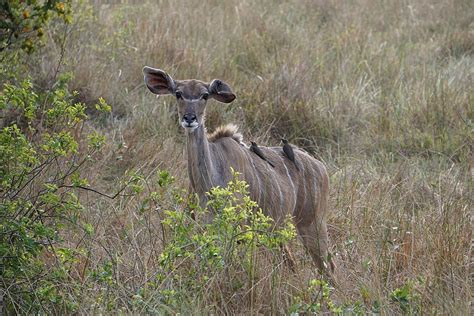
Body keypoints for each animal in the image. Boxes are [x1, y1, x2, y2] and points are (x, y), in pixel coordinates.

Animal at [143, 66, 334, 272]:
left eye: (204, 95)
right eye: (178, 94)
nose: (189, 118)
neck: (209, 182)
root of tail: (322, 168)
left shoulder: (238, 227)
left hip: (312, 224)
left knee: (328, 266)